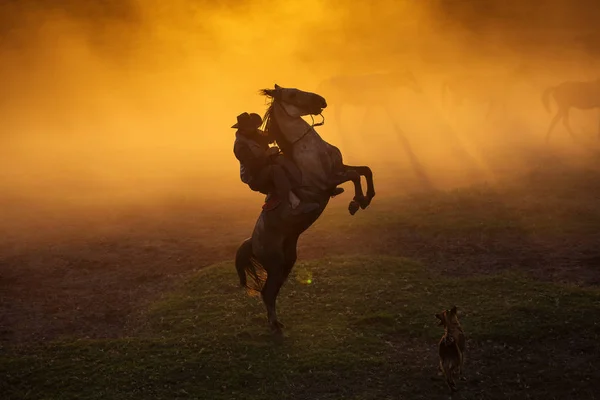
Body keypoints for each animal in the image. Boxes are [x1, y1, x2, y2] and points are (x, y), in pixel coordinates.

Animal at [234, 83, 376, 334]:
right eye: (292, 94)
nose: (322, 100)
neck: (308, 148)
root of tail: (253, 242)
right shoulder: (327, 180)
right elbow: (354, 175)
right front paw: (356, 202)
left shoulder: (338, 168)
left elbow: (364, 171)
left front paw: (365, 199)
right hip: (275, 264)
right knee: (267, 293)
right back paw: (275, 325)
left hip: (287, 262)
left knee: (271, 293)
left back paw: (276, 322)